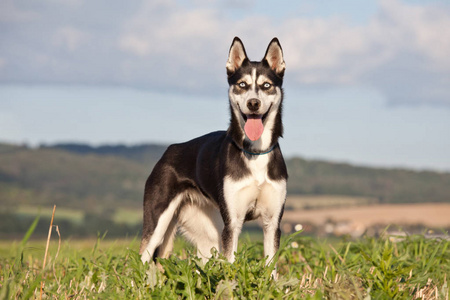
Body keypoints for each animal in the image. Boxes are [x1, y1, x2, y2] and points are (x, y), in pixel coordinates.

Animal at [141, 36, 288, 270]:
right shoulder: (233, 224)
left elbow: (270, 268)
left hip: (210, 235)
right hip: (157, 223)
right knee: (141, 260)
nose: (253, 103)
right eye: (242, 85)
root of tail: (169, 151)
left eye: (266, 85)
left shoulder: (272, 223)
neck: (255, 152)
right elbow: (231, 264)